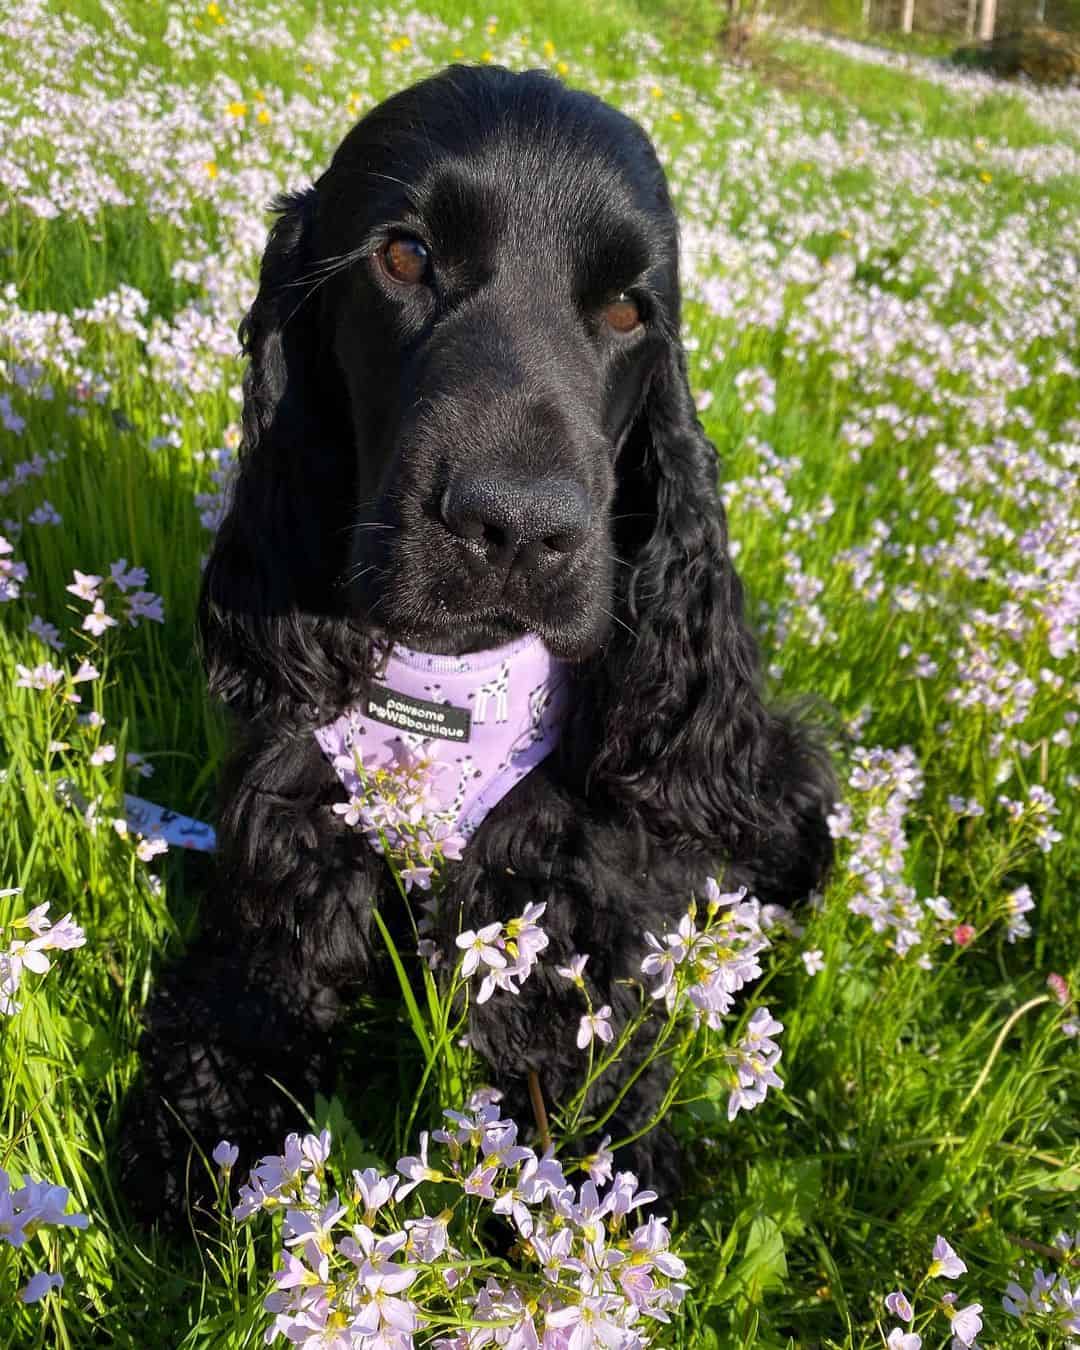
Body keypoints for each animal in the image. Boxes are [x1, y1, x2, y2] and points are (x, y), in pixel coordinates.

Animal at [122, 63, 837, 1225]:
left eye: (628, 307)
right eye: (404, 256)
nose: (516, 528)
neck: (450, 683)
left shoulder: (568, 905)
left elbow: (578, 1099)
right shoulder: (289, 842)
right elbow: (240, 1014)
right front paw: (209, 1156)